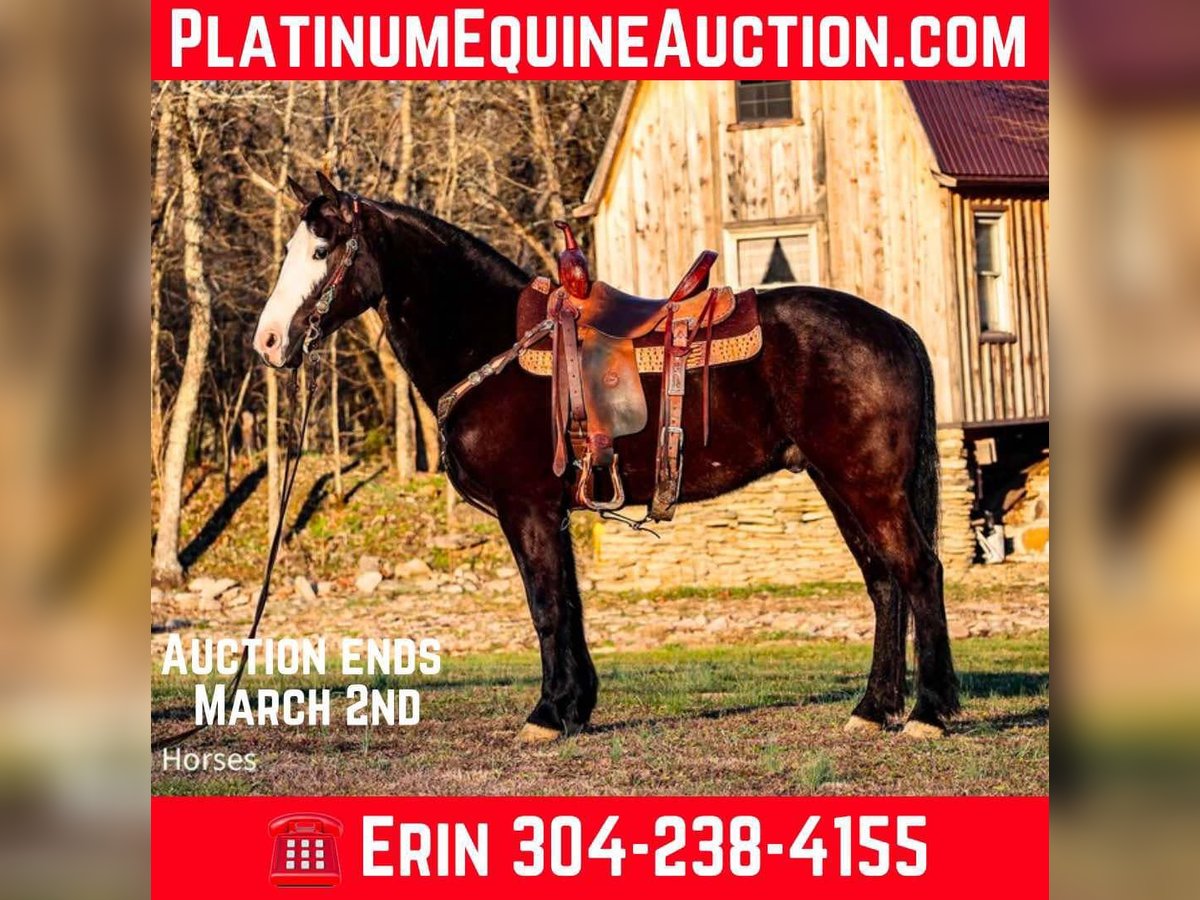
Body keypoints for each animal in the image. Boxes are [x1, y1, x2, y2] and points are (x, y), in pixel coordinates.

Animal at [252, 172, 959, 742]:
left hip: (868, 485)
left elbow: (545, 606)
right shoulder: (554, 512)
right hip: (838, 484)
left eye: (320, 250)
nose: (269, 342)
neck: (493, 343)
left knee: (918, 571)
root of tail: (896, 327)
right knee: (884, 582)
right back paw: (873, 709)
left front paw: (546, 714)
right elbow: (569, 605)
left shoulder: (528, 509)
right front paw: (574, 708)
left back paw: (930, 711)